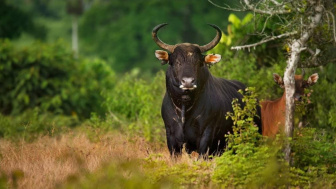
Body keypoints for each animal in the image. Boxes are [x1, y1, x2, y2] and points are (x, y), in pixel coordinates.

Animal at [153, 23, 262, 157]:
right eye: (177, 62)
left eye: (198, 62)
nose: (188, 82)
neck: (185, 108)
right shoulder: (171, 136)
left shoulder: (207, 134)